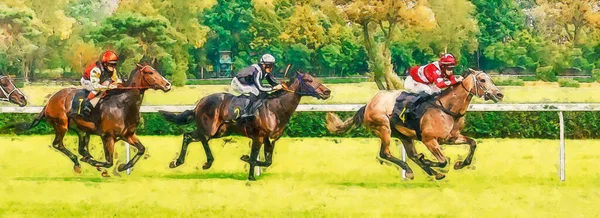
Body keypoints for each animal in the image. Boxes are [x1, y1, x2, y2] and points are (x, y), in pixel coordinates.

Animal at [22, 63, 170, 176]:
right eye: (149, 72)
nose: (168, 85)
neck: (123, 104)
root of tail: (49, 102)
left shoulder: (128, 134)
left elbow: (141, 149)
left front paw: (122, 167)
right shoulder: (107, 136)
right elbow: (109, 162)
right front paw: (94, 162)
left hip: (82, 130)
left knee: (81, 149)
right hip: (61, 125)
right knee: (58, 144)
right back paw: (79, 163)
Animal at [159, 72, 332, 180]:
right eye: (309, 80)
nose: (327, 92)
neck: (276, 108)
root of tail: (200, 102)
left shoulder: (270, 140)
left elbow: (267, 161)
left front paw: (247, 161)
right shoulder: (259, 137)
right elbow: (255, 157)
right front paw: (250, 174)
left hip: (220, 131)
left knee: (197, 138)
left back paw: (200, 162)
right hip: (210, 129)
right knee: (191, 136)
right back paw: (185, 162)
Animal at [326, 69, 504, 180]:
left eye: (490, 79)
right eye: (482, 80)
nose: (499, 94)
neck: (448, 108)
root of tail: (368, 104)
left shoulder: (452, 138)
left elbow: (472, 143)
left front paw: (461, 164)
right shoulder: (429, 140)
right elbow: (443, 161)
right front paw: (428, 160)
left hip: (403, 134)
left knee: (410, 154)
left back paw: (431, 172)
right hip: (383, 127)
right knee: (385, 153)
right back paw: (412, 170)